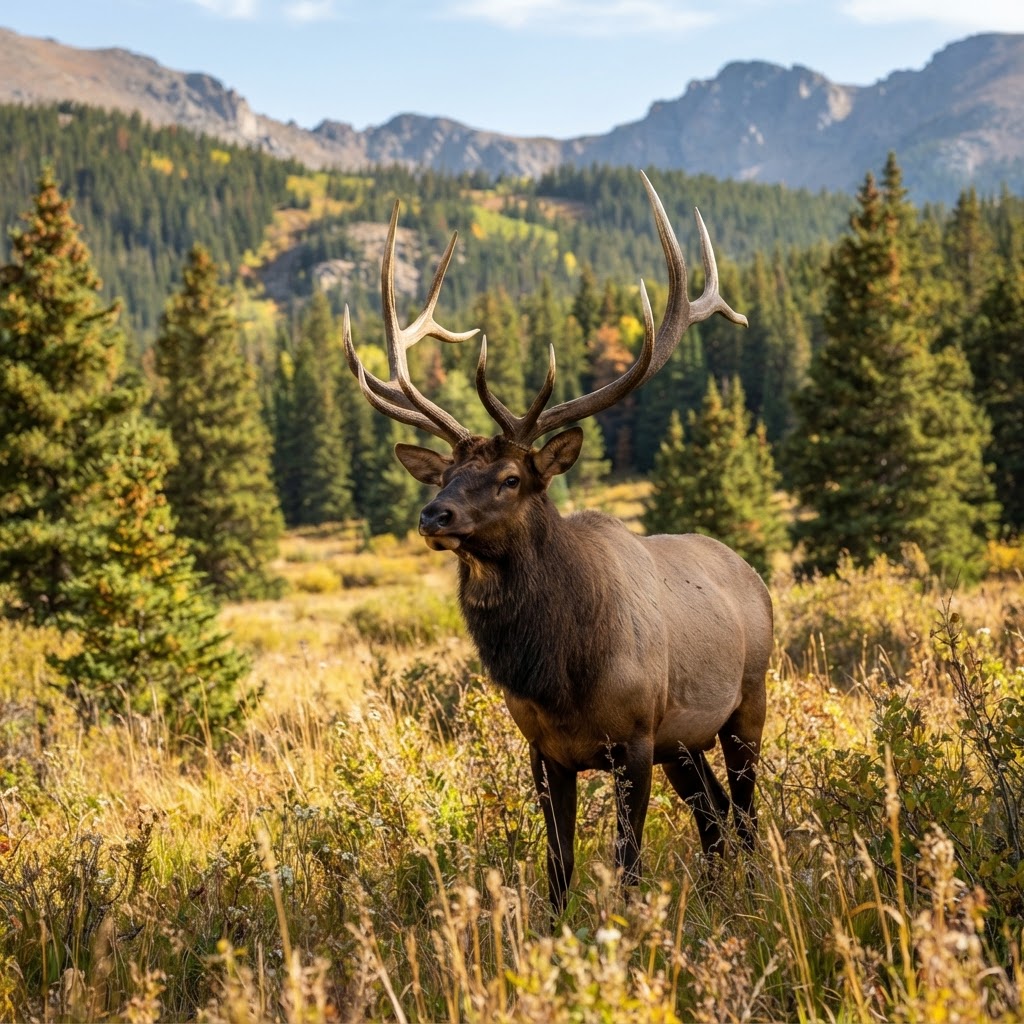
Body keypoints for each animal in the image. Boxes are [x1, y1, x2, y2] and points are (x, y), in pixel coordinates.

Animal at [344, 172, 773, 916]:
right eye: (447, 473)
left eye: (511, 478)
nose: (434, 514)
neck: (560, 671)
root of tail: (754, 576)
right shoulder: (545, 750)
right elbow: (558, 869)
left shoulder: (635, 739)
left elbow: (627, 867)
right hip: (684, 740)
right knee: (714, 816)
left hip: (748, 701)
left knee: (744, 814)